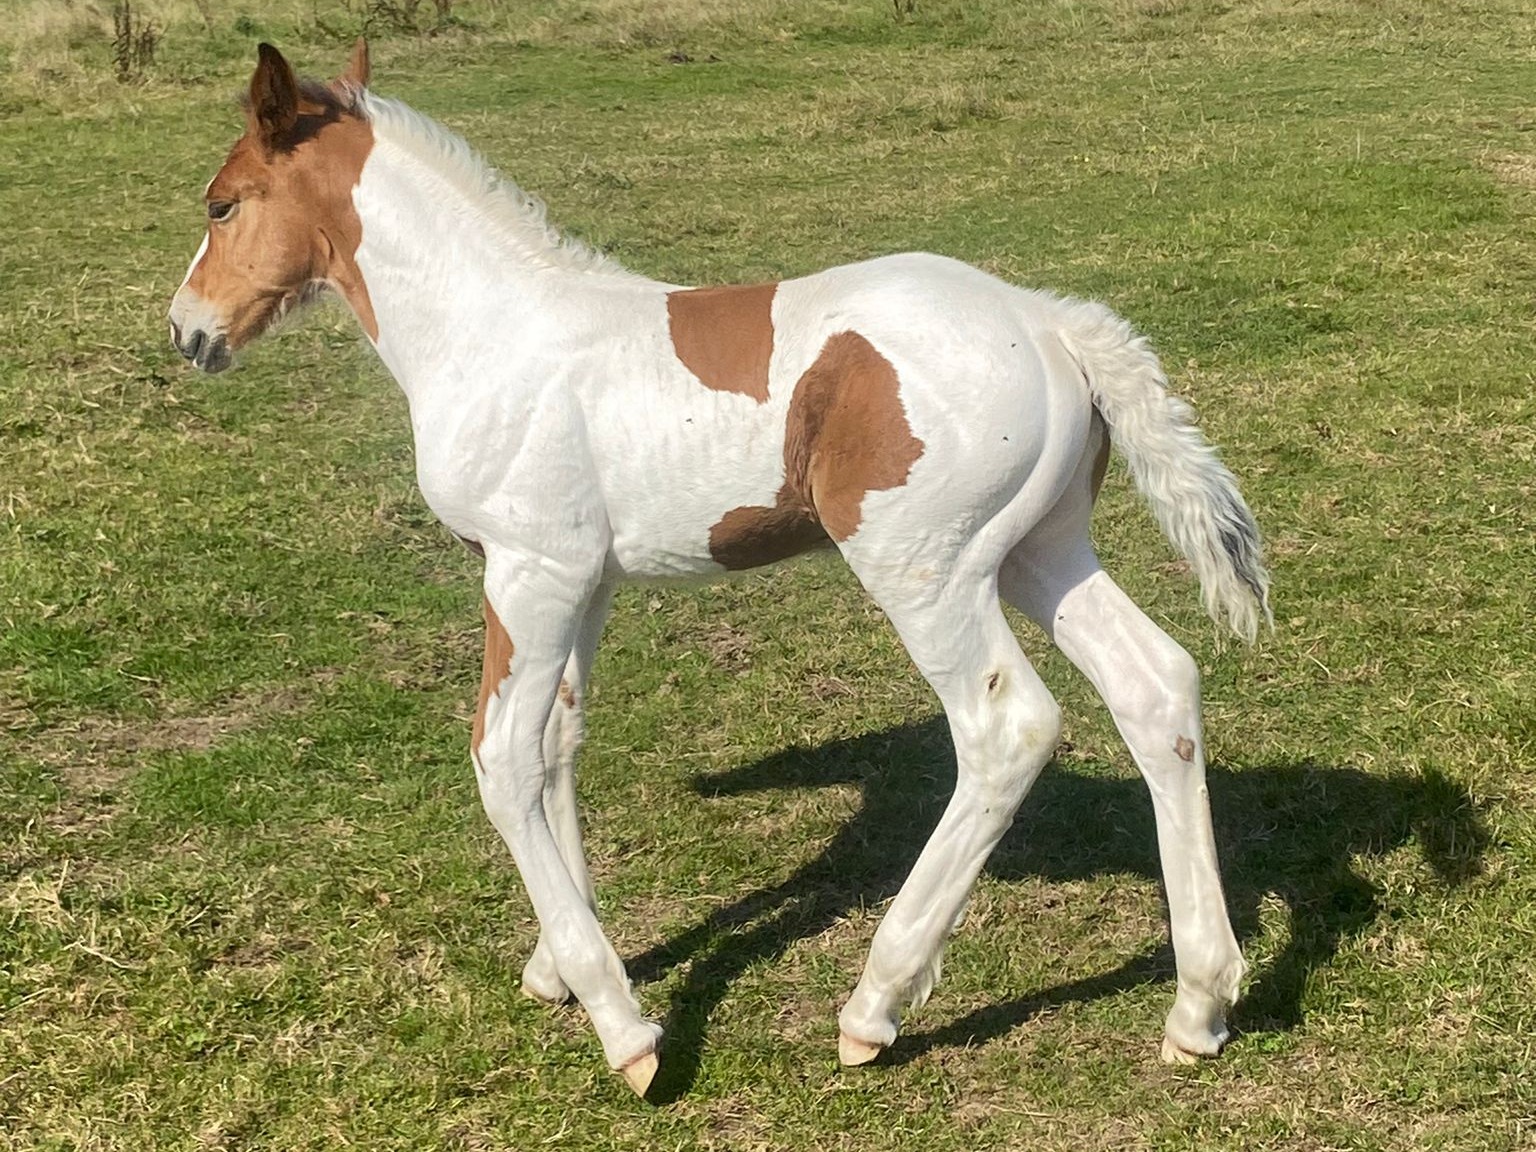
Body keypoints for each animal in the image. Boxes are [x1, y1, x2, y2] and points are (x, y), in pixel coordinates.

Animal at [168, 42, 1271, 1097]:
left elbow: (503, 761)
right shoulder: (585, 580)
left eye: (222, 203)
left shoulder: (527, 572)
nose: (187, 331)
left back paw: (875, 1005)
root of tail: (1050, 323)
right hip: (1040, 551)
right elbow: (560, 743)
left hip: (928, 569)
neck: (493, 337)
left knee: (1009, 727)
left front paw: (624, 1030)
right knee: (1156, 687)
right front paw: (561, 967)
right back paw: (1199, 1008)